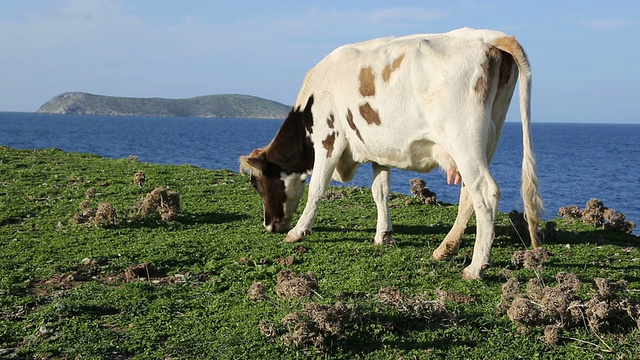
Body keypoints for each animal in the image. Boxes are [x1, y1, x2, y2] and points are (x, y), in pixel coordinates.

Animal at [240, 28, 544, 282]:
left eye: (256, 183)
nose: (269, 225)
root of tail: (488, 36)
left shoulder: (329, 139)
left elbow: (317, 188)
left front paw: (298, 231)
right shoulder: (378, 151)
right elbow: (380, 191)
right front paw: (384, 235)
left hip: (463, 139)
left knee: (485, 193)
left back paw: (475, 266)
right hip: (487, 138)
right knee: (469, 196)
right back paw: (444, 250)